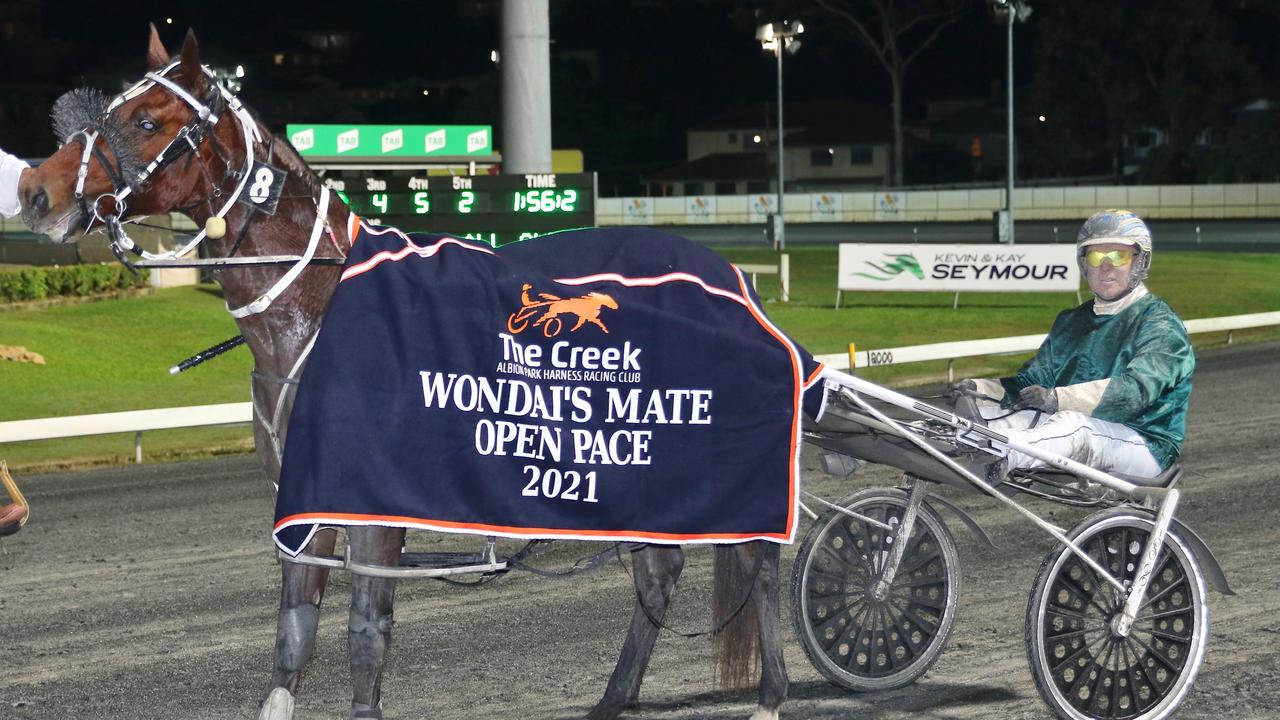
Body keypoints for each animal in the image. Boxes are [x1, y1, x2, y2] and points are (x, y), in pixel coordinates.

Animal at [22, 26, 788, 717]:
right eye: (107, 109)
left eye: (146, 121)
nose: (34, 188)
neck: (320, 308)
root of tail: (730, 279)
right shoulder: (303, 500)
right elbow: (293, 636)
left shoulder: (374, 509)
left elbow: (366, 637)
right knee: (659, 568)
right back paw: (613, 699)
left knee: (757, 560)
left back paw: (771, 696)